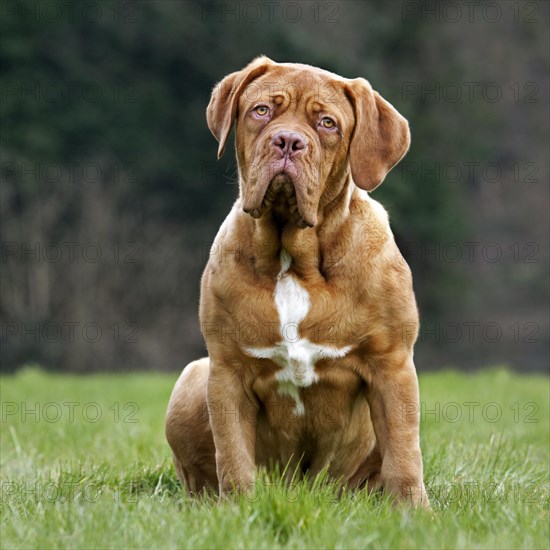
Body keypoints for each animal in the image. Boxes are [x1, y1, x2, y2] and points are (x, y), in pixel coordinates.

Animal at [166, 56, 434, 508]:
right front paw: (237, 510)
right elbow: (233, 456)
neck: (294, 260)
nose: (288, 141)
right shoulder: (227, 372)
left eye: (327, 123)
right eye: (261, 111)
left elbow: (403, 454)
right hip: (191, 380)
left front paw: (413, 512)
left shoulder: (392, 365)